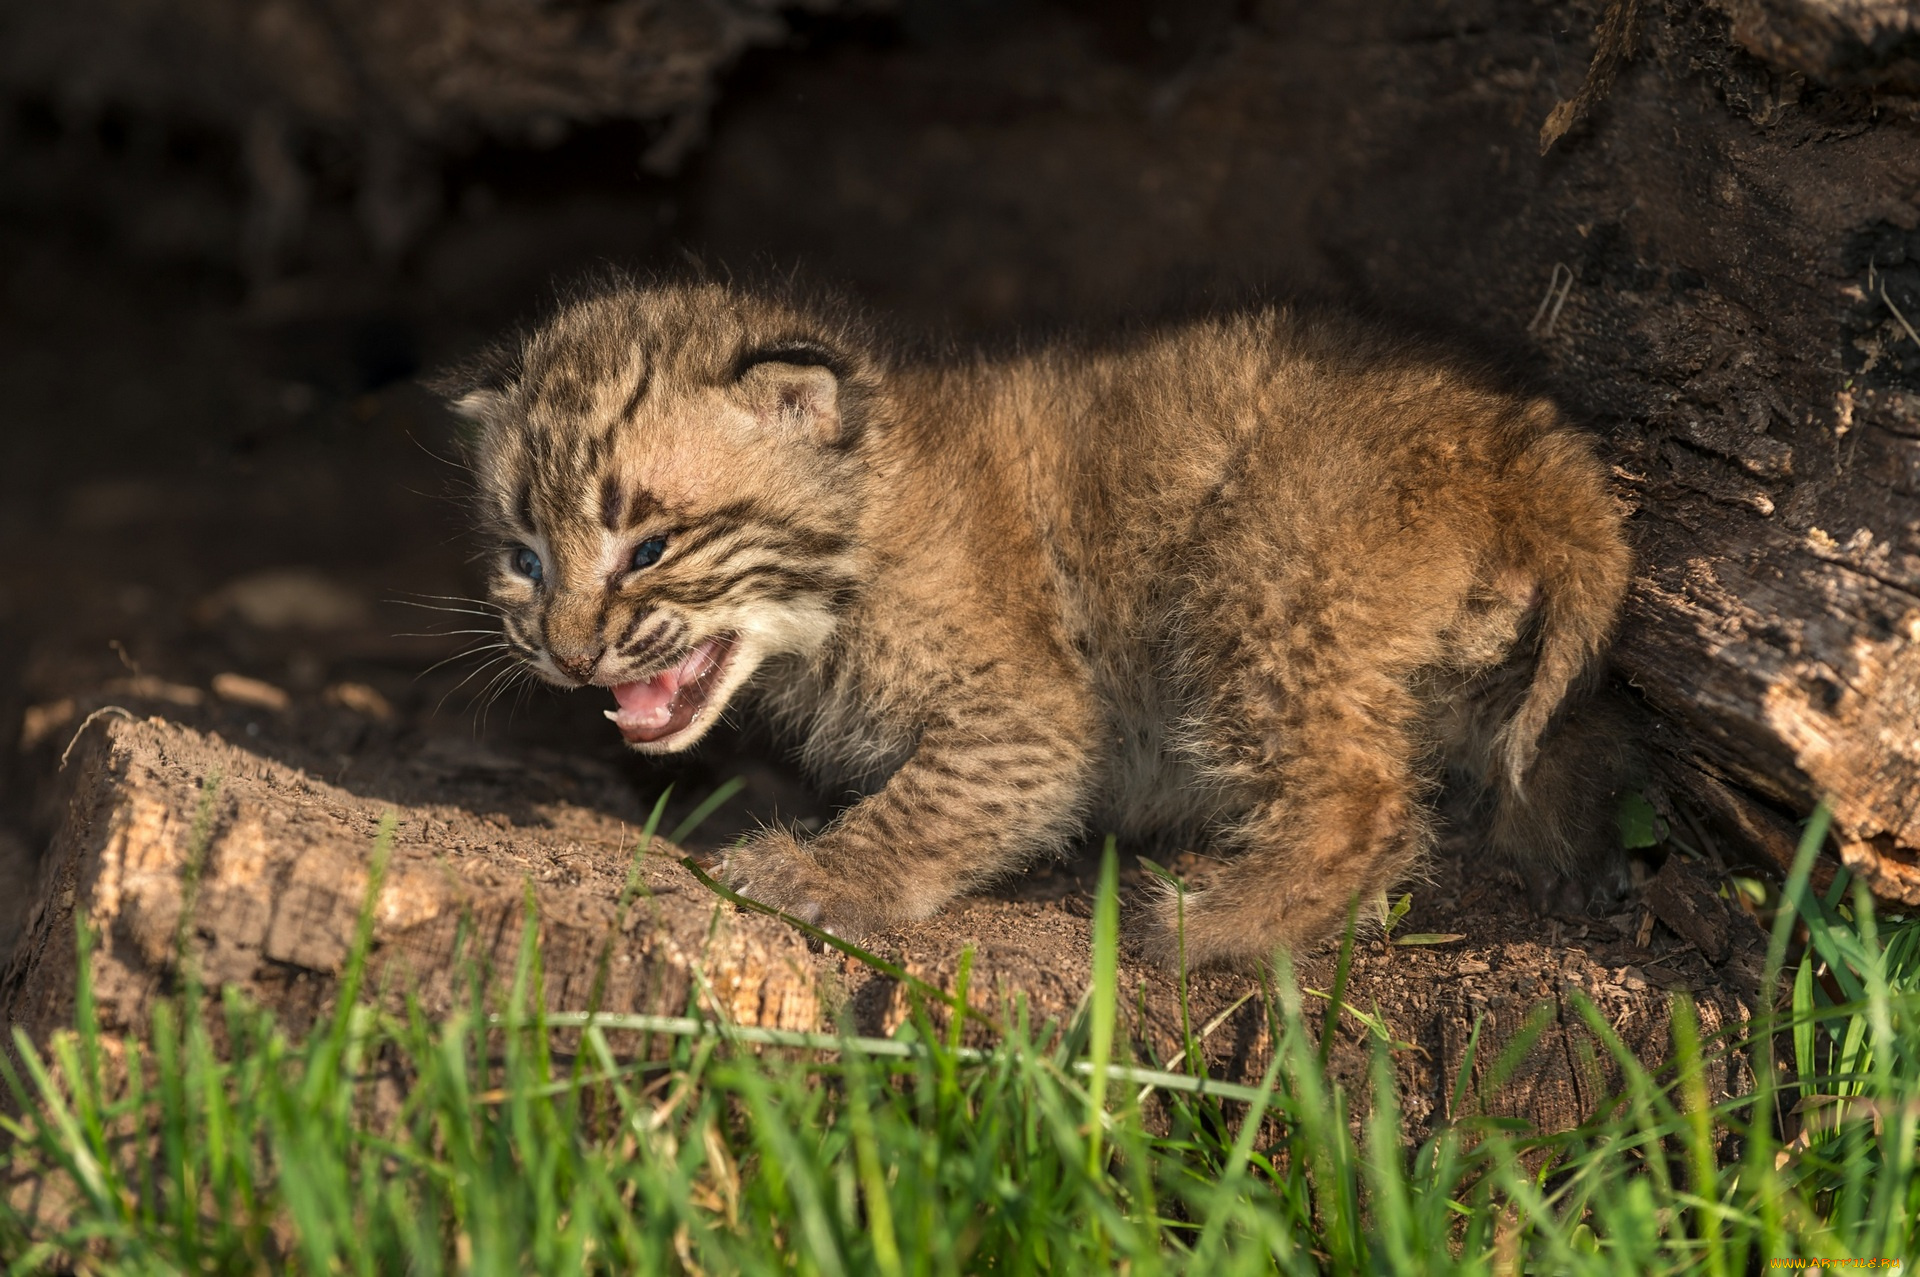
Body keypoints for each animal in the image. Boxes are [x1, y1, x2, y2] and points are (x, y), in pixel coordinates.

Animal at [445, 278, 1635, 967]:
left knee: (1366, 795)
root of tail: (1527, 438)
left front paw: (817, 877)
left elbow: (932, 796)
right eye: (524, 560)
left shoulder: (1032, 714)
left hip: (1258, 582)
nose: (567, 655)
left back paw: (1212, 926)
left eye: (647, 547)